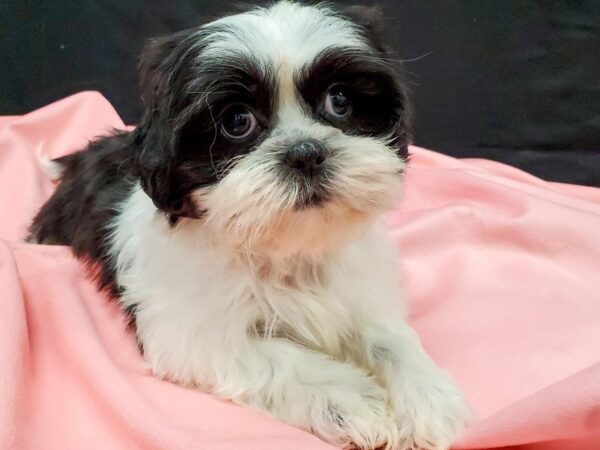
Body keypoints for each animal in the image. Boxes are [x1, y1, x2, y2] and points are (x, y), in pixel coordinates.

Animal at [30, 1, 472, 448]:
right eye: (237, 121)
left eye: (340, 100)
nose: (306, 152)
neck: (288, 250)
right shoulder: (189, 329)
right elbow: (275, 356)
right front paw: (351, 401)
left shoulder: (363, 292)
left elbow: (389, 339)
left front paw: (427, 396)